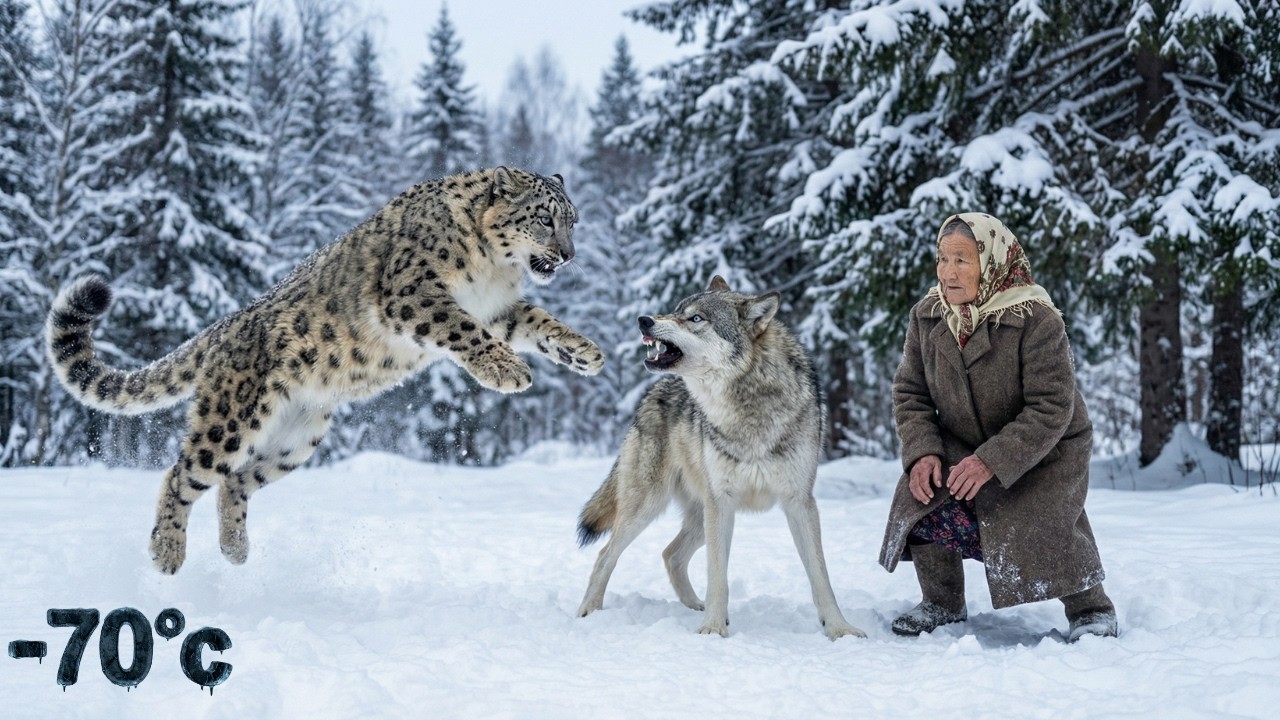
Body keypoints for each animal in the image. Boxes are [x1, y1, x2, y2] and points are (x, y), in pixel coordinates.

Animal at [575, 276, 864, 640]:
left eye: (696, 318)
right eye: (676, 310)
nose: (644, 320)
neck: (746, 404)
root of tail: (649, 394)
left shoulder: (799, 501)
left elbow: (820, 576)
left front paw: (840, 629)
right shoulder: (722, 503)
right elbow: (717, 575)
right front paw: (713, 629)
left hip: (699, 517)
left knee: (670, 554)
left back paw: (692, 606)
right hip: (652, 508)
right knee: (605, 554)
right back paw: (588, 612)